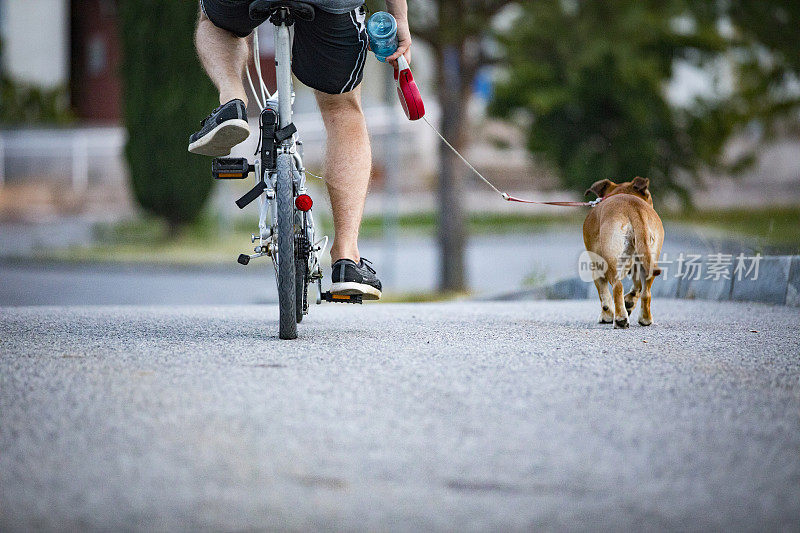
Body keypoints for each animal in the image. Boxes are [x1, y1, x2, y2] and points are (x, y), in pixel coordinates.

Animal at [580, 179, 664, 326]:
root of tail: (633, 208)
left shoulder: (597, 268)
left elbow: (604, 295)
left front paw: (606, 315)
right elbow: (637, 287)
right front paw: (629, 302)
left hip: (610, 261)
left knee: (617, 286)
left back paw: (620, 319)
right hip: (650, 260)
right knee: (646, 292)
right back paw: (645, 318)